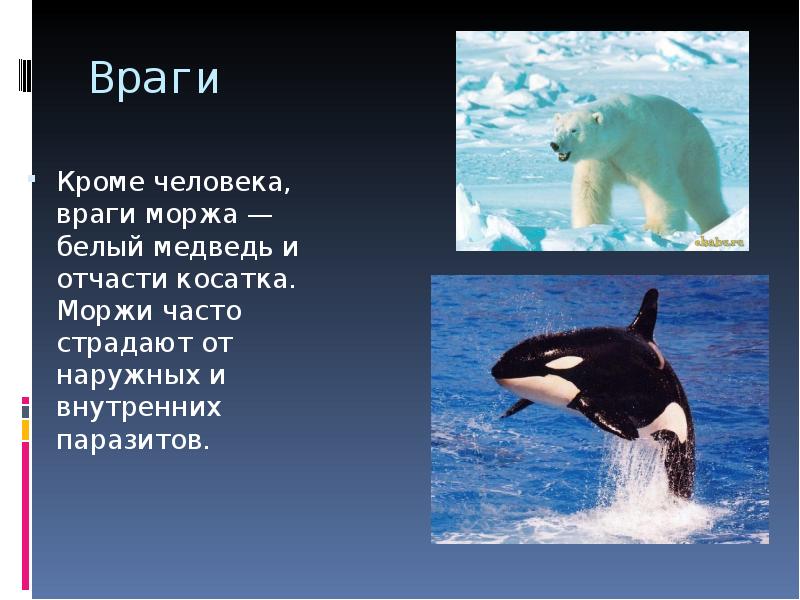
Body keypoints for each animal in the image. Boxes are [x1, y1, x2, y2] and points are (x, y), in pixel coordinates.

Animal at [550, 94, 729, 234]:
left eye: (574, 130)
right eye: (557, 128)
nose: (555, 145)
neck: (622, 134)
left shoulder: (641, 143)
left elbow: (659, 184)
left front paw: (657, 228)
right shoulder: (598, 158)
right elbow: (589, 188)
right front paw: (588, 226)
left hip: (692, 151)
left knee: (702, 191)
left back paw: (717, 225)